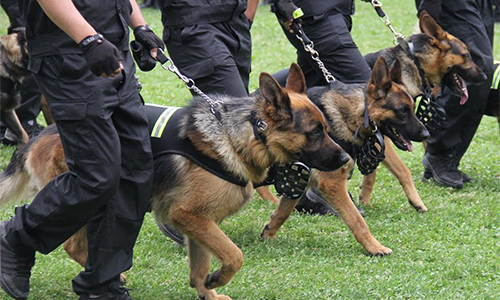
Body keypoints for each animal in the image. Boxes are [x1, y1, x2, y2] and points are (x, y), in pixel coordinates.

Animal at [0, 63, 350, 300]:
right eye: (315, 132)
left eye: (325, 127)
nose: (347, 159)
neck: (244, 136)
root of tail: (40, 136)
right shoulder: (189, 215)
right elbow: (234, 255)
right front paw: (217, 279)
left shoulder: (200, 222)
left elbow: (199, 266)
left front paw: (207, 290)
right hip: (92, 195)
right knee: (70, 240)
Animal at [260, 55, 428, 255]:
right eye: (403, 110)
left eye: (412, 107)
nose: (427, 134)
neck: (351, 114)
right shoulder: (332, 183)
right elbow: (357, 220)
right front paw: (375, 247)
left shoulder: (300, 177)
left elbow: (283, 212)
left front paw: (268, 233)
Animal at [358, 11, 486, 207]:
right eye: (467, 55)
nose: (485, 77)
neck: (414, 63)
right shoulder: (382, 137)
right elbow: (400, 169)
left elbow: (371, 171)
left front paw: (363, 199)